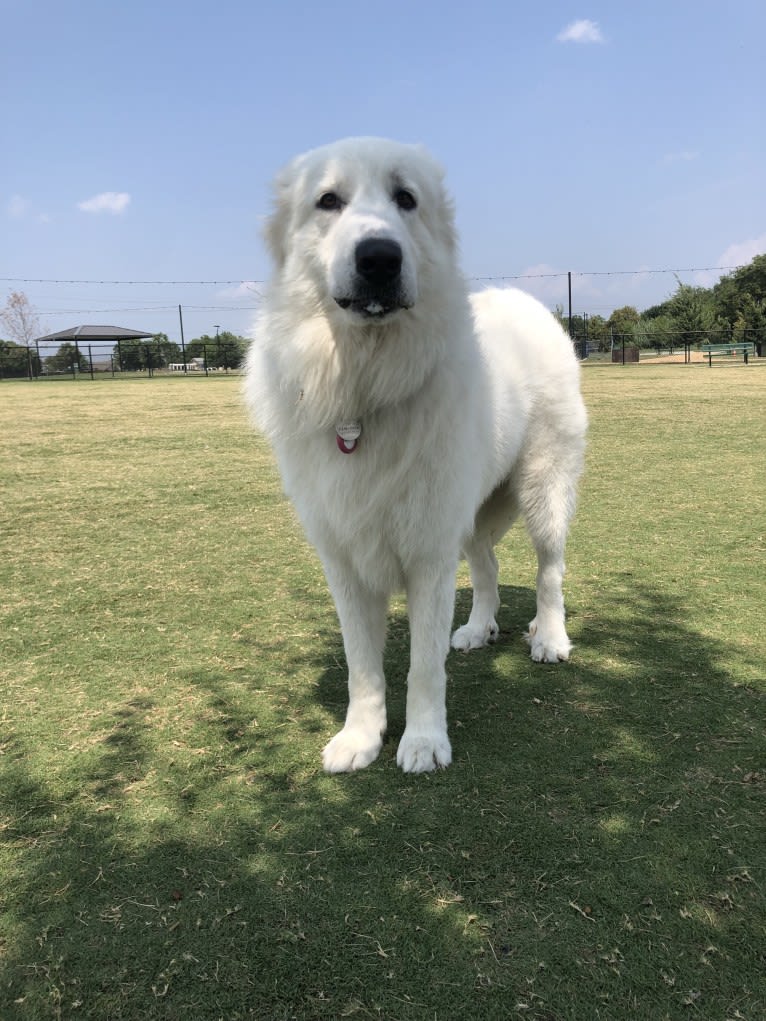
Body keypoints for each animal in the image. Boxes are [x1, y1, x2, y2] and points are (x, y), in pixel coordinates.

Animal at [246, 135, 588, 771]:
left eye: (406, 199)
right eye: (327, 201)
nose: (379, 257)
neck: (364, 387)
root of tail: (526, 299)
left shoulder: (429, 552)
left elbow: (424, 666)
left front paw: (425, 740)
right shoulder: (346, 560)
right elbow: (362, 667)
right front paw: (360, 737)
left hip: (542, 491)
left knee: (549, 571)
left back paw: (550, 638)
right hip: (471, 510)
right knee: (486, 566)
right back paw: (479, 629)